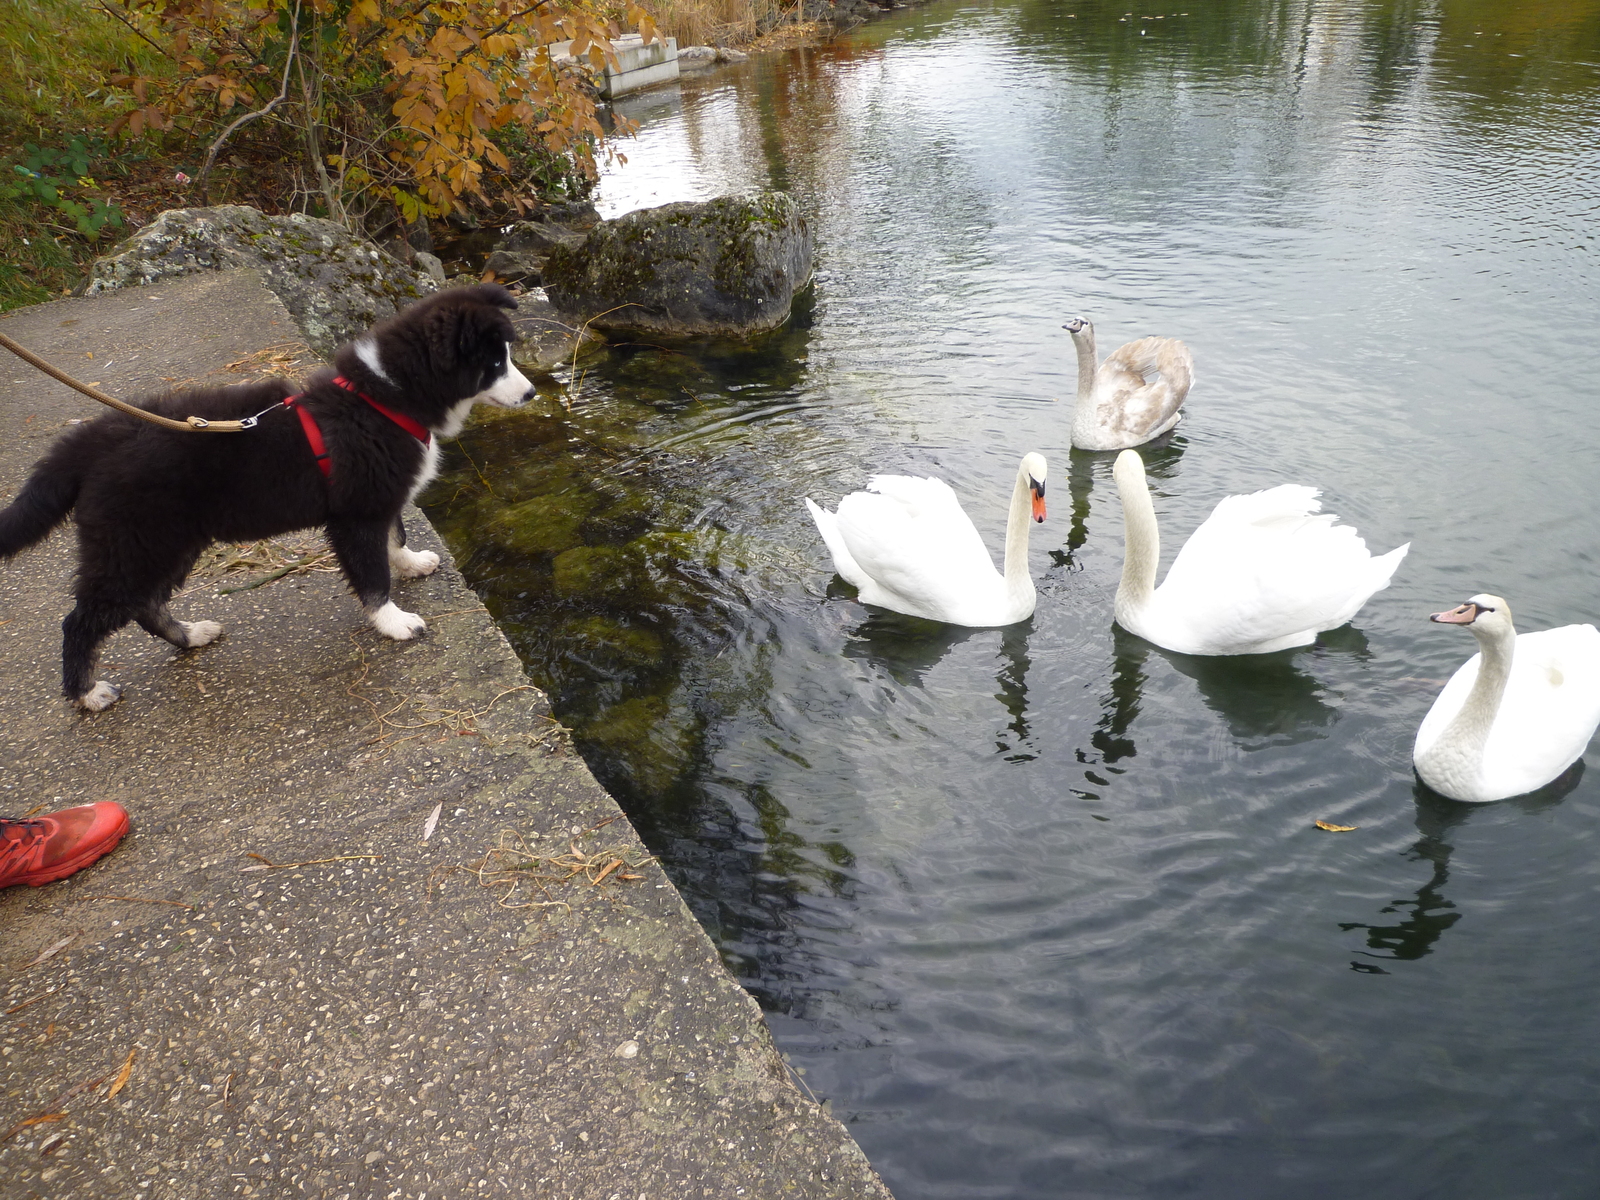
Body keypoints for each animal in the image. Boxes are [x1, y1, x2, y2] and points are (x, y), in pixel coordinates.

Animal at [0, 281, 537, 713]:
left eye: (506, 356)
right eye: (495, 364)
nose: (532, 393)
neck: (383, 395)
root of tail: (94, 438)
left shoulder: (378, 499)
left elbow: (395, 535)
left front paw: (411, 564)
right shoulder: (356, 514)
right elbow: (372, 574)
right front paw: (394, 622)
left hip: (170, 541)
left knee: (145, 605)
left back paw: (190, 636)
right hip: (133, 543)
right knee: (82, 620)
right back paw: (87, 693)